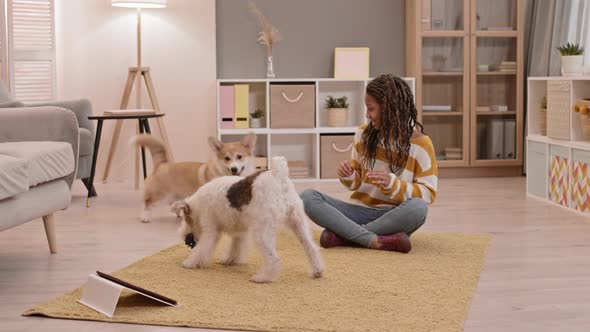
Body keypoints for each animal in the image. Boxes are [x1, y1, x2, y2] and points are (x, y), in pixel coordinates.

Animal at [173, 156, 326, 282]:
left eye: (185, 219)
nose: (184, 235)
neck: (198, 204)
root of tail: (278, 176)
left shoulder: (210, 230)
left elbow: (201, 248)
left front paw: (189, 263)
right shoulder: (239, 233)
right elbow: (235, 247)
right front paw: (230, 260)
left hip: (262, 232)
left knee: (274, 259)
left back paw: (263, 277)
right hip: (298, 223)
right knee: (311, 248)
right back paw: (317, 271)